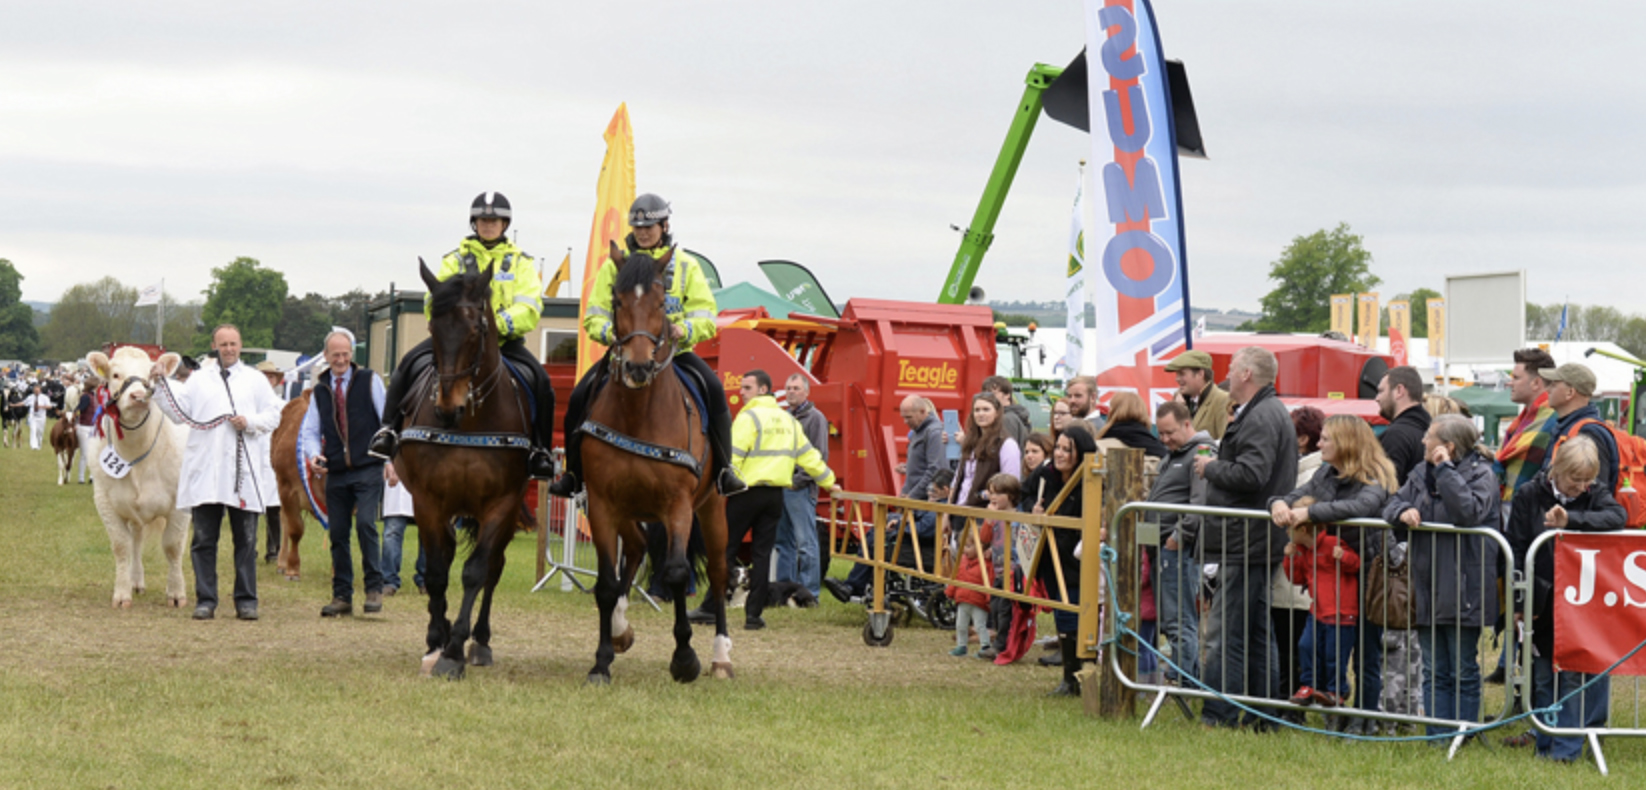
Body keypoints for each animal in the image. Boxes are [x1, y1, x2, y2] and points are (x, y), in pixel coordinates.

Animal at [86, 348, 189, 608]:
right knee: (136, 539)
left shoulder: (181, 505)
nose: (139, 395)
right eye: (115, 374)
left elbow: (173, 546)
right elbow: (121, 545)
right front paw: (122, 593)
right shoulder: (105, 501)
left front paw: (176, 593)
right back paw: (135, 580)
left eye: (151, 375)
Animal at [393, 260, 533, 678]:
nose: (446, 408)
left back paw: (481, 642)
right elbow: (437, 572)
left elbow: (476, 571)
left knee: (494, 567)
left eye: (475, 330)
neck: (471, 422)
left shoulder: (501, 504)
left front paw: (455, 650)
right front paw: (437, 640)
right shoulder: (427, 501)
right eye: (432, 329)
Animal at [582, 241, 730, 684]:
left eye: (662, 302)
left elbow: (678, 573)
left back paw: (721, 656)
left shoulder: (677, 505)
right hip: (629, 510)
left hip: (713, 509)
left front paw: (685, 659)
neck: (640, 414)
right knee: (636, 547)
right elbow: (606, 585)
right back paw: (619, 629)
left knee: (719, 575)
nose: (638, 366)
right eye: (616, 299)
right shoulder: (602, 505)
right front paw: (601, 662)